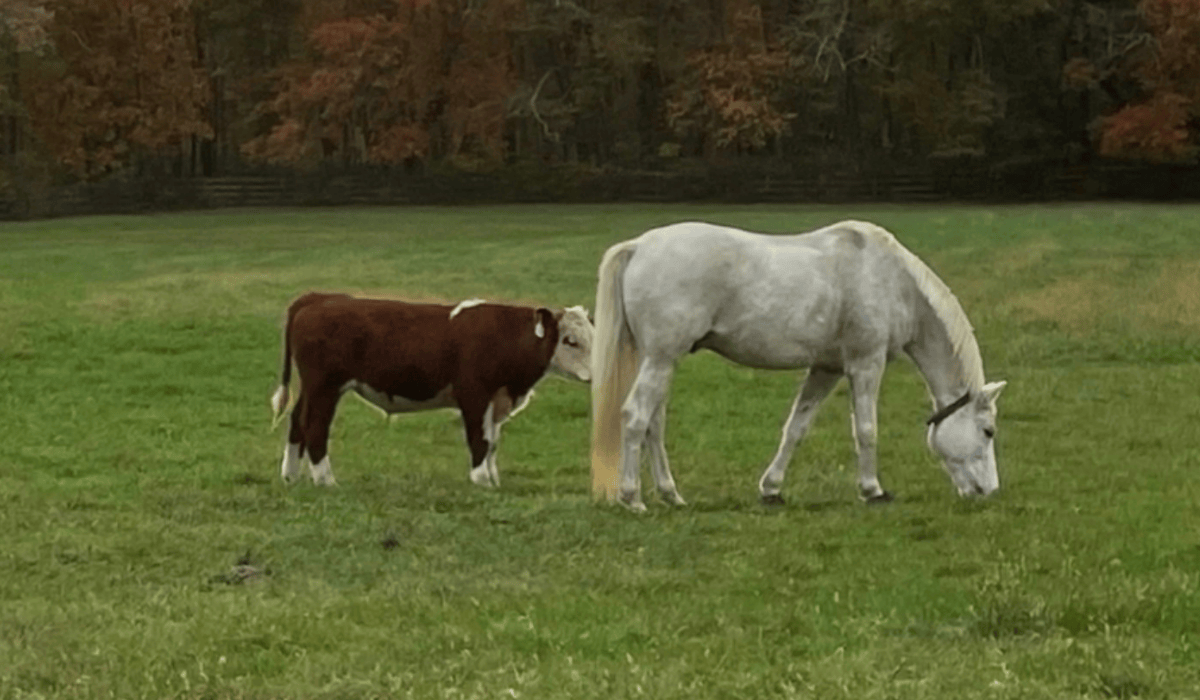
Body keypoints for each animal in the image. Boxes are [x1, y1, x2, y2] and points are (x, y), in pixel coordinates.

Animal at [270, 292, 593, 488]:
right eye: (570, 340)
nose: (594, 375)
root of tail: (321, 299)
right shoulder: (474, 395)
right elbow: (480, 440)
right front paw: (480, 480)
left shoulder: (497, 401)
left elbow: (493, 442)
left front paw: (493, 480)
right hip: (325, 386)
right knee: (315, 427)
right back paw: (325, 480)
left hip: (312, 387)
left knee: (297, 421)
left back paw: (291, 475)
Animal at [590, 220, 1006, 512]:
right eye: (987, 431)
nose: (989, 492)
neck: (891, 280)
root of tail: (638, 246)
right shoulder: (865, 364)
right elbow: (867, 429)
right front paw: (872, 490)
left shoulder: (826, 369)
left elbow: (796, 428)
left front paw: (771, 489)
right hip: (661, 359)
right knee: (635, 416)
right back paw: (632, 497)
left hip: (660, 361)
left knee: (654, 425)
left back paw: (670, 494)